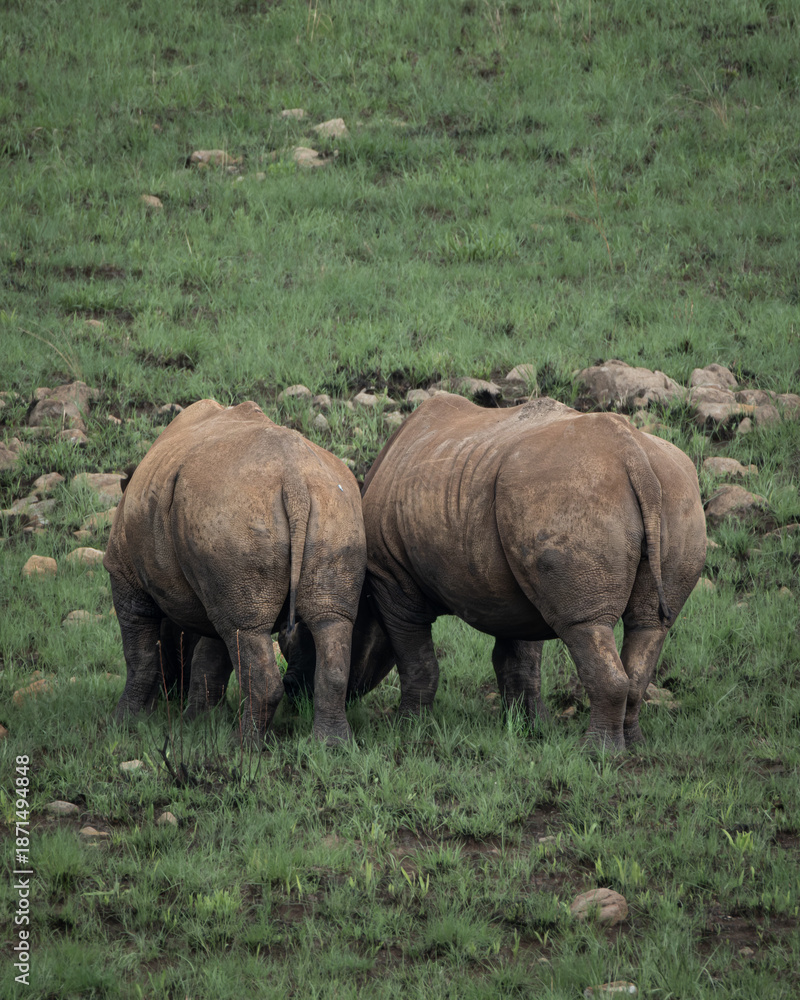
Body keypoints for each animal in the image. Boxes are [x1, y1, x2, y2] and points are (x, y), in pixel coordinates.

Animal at [103, 398, 366, 745]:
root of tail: (294, 480)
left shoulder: (125, 576)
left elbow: (140, 653)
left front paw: (123, 723)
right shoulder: (215, 579)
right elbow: (212, 657)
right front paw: (198, 722)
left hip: (233, 513)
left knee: (246, 630)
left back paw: (242, 746)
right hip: (335, 509)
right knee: (329, 621)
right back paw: (332, 745)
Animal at [283, 394, 706, 749]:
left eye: (301, 645)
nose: (292, 691)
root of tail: (632, 454)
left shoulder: (392, 580)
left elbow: (417, 661)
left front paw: (408, 729)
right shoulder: (518, 585)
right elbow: (518, 659)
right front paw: (530, 728)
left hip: (570, 492)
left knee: (585, 625)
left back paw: (598, 754)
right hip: (669, 489)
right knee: (650, 626)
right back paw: (633, 746)